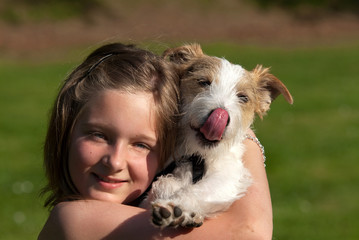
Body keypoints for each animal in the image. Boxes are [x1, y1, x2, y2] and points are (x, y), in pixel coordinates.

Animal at [148, 43, 294, 229]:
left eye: (243, 97)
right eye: (203, 82)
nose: (220, 116)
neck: (196, 154)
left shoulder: (229, 173)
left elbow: (200, 189)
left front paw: (177, 207)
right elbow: (165, 183)